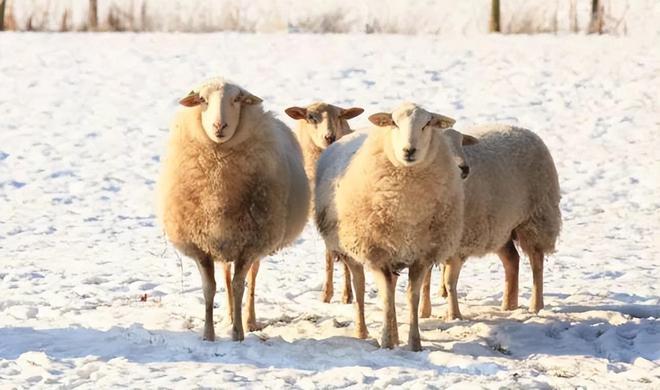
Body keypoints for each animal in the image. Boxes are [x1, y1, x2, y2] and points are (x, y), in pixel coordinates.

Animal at [157, 77, 310, 342]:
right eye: (202, 100)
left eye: (237, 99)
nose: (220, 125)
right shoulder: (201, 246)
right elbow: (210, 289)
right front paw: (208, 334)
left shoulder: (250, 245)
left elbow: (240, 287)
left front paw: (238, 333)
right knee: (226, 275)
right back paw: (228, 316)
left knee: (251, 279)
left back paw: (248, 320)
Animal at [284, 103, 366, 304]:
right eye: (311, 117)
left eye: (339, 116)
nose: (329, 137)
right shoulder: (325, 216)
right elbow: (330, 255)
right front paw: (328, 294)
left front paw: (346, 294)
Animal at [316, 101, 470, 350]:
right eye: (394, 123)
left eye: (427, 124)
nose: (409, 150)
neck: (408, 209)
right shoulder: (377, 253)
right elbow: (387, 297)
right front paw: (387, 343)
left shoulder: (422, 256)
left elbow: (412, 297)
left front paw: (414, 344)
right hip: (351, 249)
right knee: (359, 287)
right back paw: (362, 331)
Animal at [420, 124, 560, 320]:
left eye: (461, 143)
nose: (464, 168)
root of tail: (524, 130)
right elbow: (425, 280)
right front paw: (423, 312)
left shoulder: (459, 242)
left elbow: (449, 281)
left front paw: (454, 315)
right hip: (500, 228)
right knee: (512, 260)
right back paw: (509, 306)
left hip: (536, 218)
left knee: (536, 263)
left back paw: (535, 306)